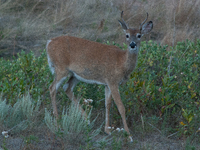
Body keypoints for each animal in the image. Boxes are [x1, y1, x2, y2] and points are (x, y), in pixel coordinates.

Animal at [46, 10, 153, 142]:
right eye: (127, 35)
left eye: (139, 35)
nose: (133, 45)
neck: (121, 62)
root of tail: (49, 42)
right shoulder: (113, 81)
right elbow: (121, 106)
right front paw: (129, 136)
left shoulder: (107, 83)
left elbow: (108, 104)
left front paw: (107, 130)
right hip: (61, 69)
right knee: (52, 88)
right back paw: (58, 123)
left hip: (75, 74)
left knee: (67, 88)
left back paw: (86, 120)